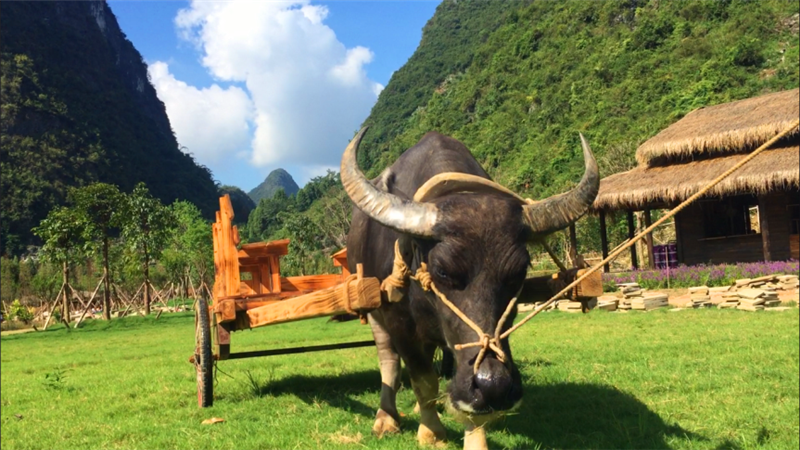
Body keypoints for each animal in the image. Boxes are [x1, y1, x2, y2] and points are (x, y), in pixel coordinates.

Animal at [340, 128, 596, 448]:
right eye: (442, 270)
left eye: (519, 272)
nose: (495, 384)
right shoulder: (400, 324)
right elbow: (421, 378)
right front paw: (431, 432)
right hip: (374, 310)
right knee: (389, 361)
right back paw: (387, 418)